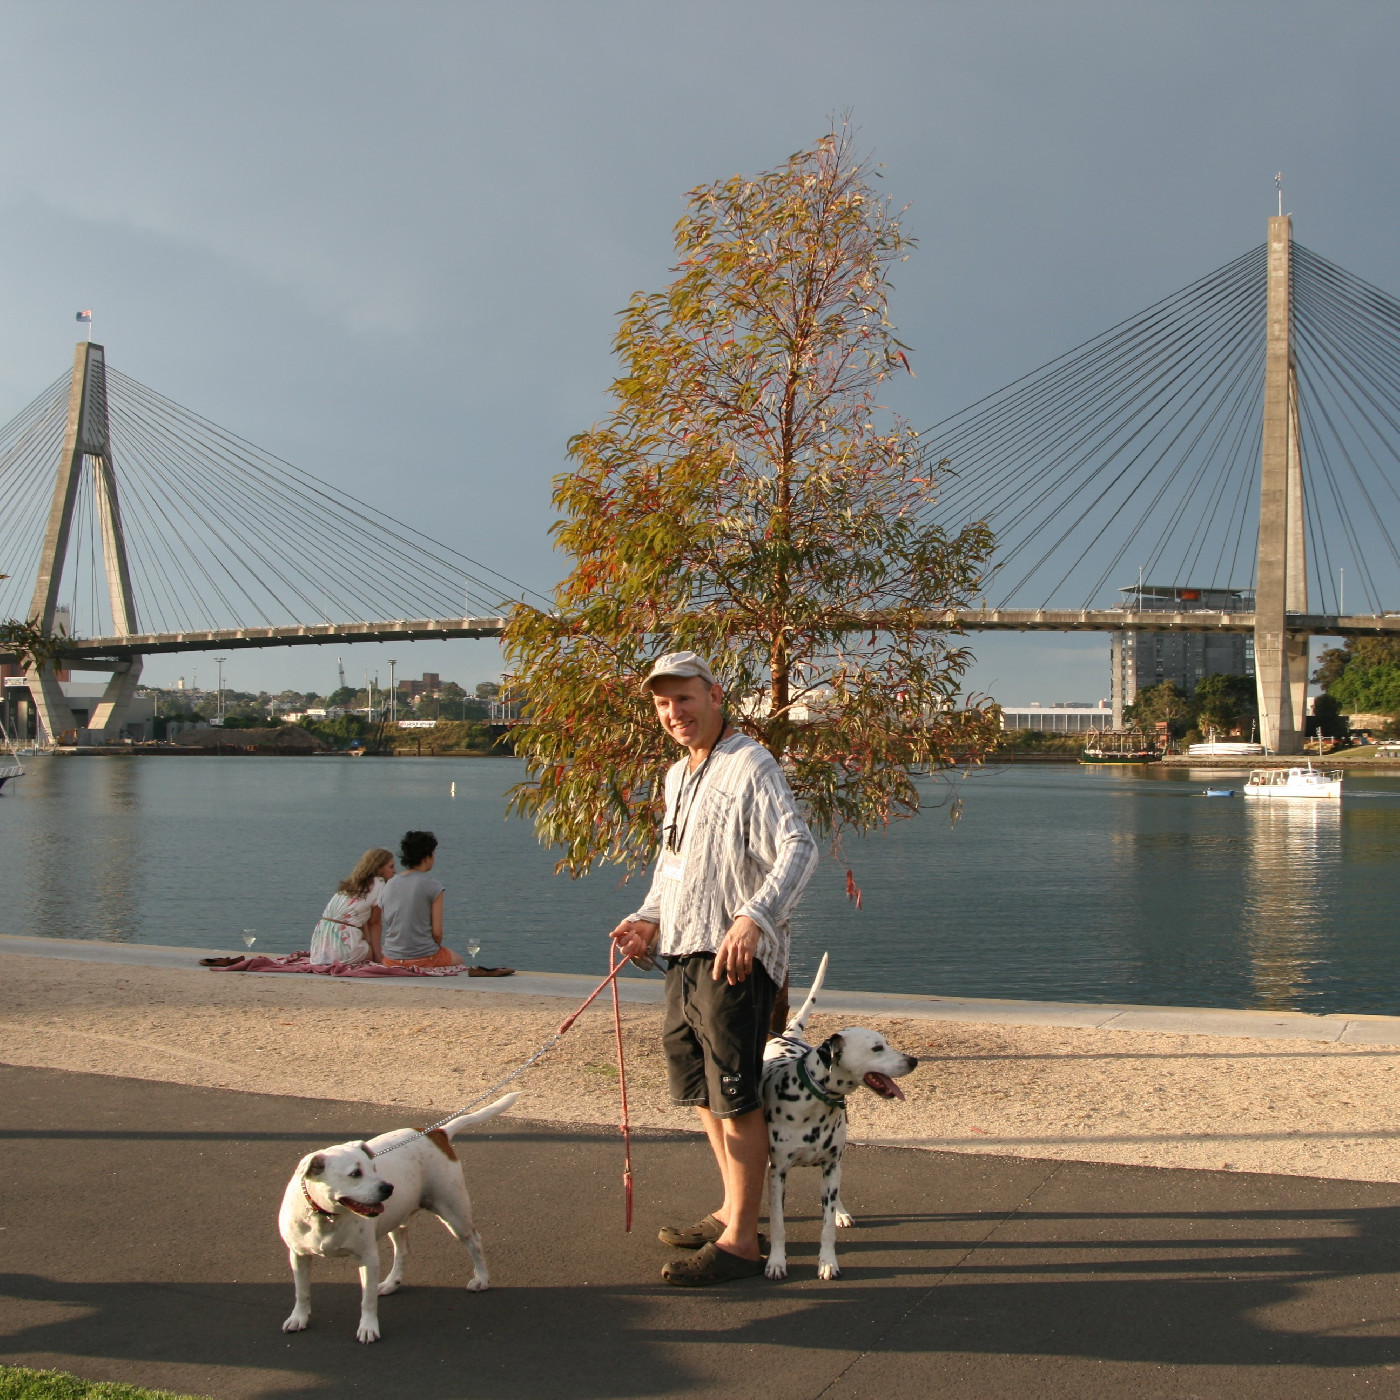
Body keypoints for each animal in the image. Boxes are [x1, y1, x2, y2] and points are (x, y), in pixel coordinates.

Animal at [275, 1092, 518, 1344]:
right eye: (355, 1174)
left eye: (374, 1168)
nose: (388, 1188)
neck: (326, 1216)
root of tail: (436, 1132)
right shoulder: (299, 1256)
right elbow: (302, 1291)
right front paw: (299, 1318)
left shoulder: (368, 1259)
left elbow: (367, 1299)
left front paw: (368, 1327)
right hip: (399, 1218)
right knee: (402, 1250)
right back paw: (392, 1282)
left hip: (454, 1212)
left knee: (474, 1242)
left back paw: (481, 1279)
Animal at [767, 963, 918, 1282]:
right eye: (877, 1048)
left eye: (887, 1043)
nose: (913, 1061)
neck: (810, 1100)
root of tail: (785, 1035)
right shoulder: (778, 1172)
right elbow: (778, 1224)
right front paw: (776, 1261)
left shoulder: (830, 1167)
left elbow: (825, 1228)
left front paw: (827, 1262)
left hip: (835, 1167)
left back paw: (841, 1212)